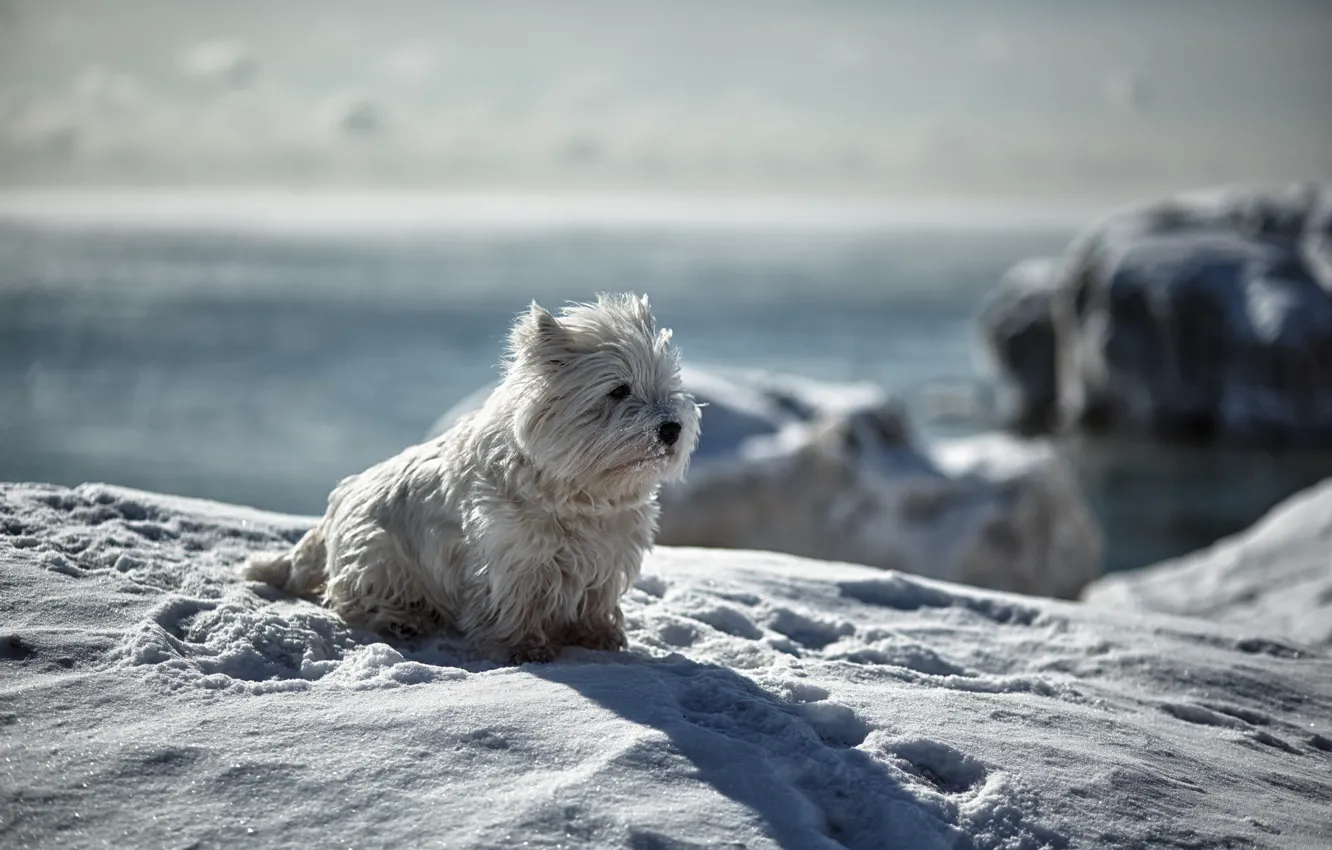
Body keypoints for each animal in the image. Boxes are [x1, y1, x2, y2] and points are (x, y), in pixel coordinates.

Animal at [243, 293, 697, 666]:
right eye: (618, 390)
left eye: (667, 386)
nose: (671, 429)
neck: (580, 490)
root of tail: (333, 511)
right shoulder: (512, 553)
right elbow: (515, 601)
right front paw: (523, 648)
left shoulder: (608, 553)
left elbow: (595, 599)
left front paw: (599, 637)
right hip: (378, 556)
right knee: (350, 599)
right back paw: (402, 619)